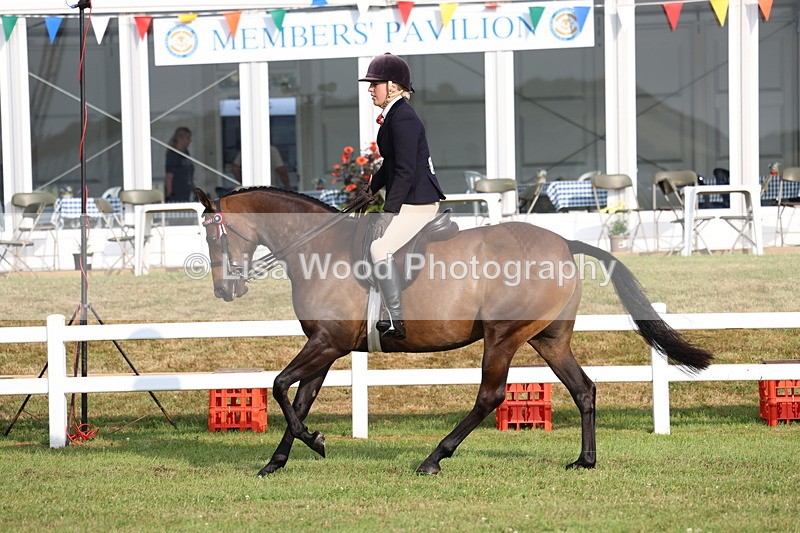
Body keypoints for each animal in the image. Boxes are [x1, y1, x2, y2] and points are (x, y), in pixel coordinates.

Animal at [195, 186, 712, 476]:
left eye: (214, 234)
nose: (223, 290)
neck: (317, 246)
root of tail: (564, 242)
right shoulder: (326, 346)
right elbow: (297, 399)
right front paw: (277, 461)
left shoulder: (327, 343)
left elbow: (280, 386)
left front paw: (314, 442)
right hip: (548, 338)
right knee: (583, 389)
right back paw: (585, 461)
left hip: (503, 336)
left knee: (490, 396)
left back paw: (434, 459)